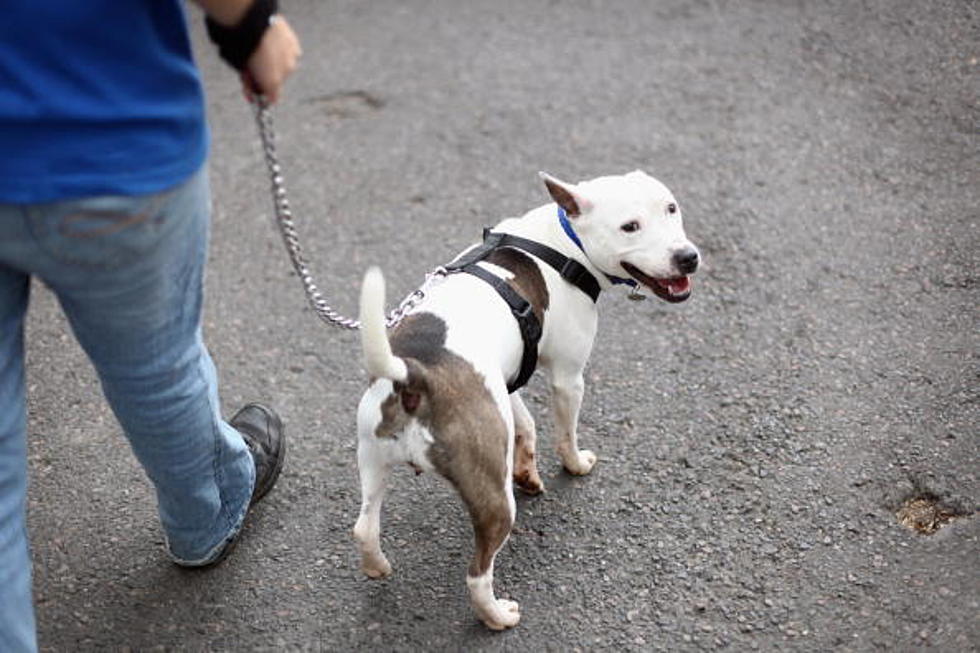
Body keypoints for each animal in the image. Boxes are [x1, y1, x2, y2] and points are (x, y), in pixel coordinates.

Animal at [352, 171, 696, 628]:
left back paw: (377, 567)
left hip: (373, 458)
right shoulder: (568, 379)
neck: (563, 241)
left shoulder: (505, 381)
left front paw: (528, 470)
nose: (688, 257)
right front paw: (576, 464)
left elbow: (526, 424)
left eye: (671, 208)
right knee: (477, 574)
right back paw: (498, 616)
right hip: (494, 500)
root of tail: (413, 374)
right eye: (630, 227)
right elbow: (565, 434)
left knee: (364, 527)